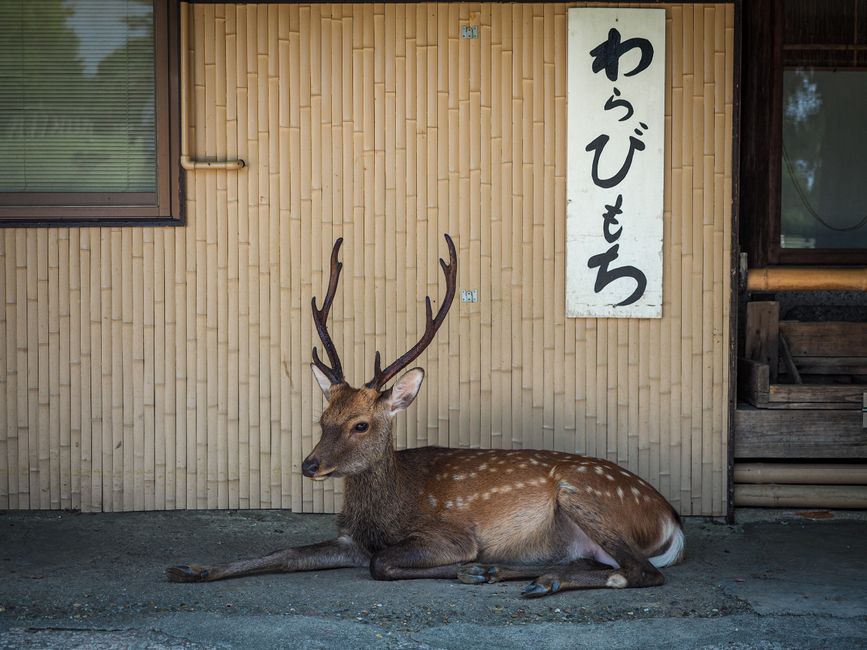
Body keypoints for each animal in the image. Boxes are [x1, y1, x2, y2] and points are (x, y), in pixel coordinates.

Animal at [167, 234, 684, 597]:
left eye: (361, 423)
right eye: (322, 416)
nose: (309, 465)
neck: (387, 511)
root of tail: (671, 522)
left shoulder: (448, 534)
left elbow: (383, 564)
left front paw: (468, 568)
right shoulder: (350, 539)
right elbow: (283, 550)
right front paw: (191, 568)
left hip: (584, 494)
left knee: (642, 571)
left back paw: (522, 576)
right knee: (597, 562)